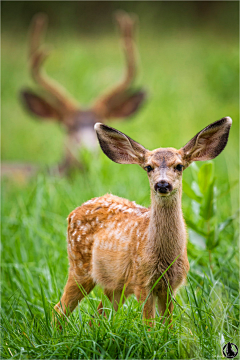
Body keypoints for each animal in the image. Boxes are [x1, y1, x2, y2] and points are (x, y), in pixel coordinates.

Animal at [54, 116, 231, 326]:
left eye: (179, 166)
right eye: (148, 167)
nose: (162, 184)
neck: (162, 256)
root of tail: (74, 212)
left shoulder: (171, 286)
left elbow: (168, 325)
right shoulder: (142, 281)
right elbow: (149, 325)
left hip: (115, 285)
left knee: (97, 316)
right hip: (79, 266)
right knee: (59, 308)